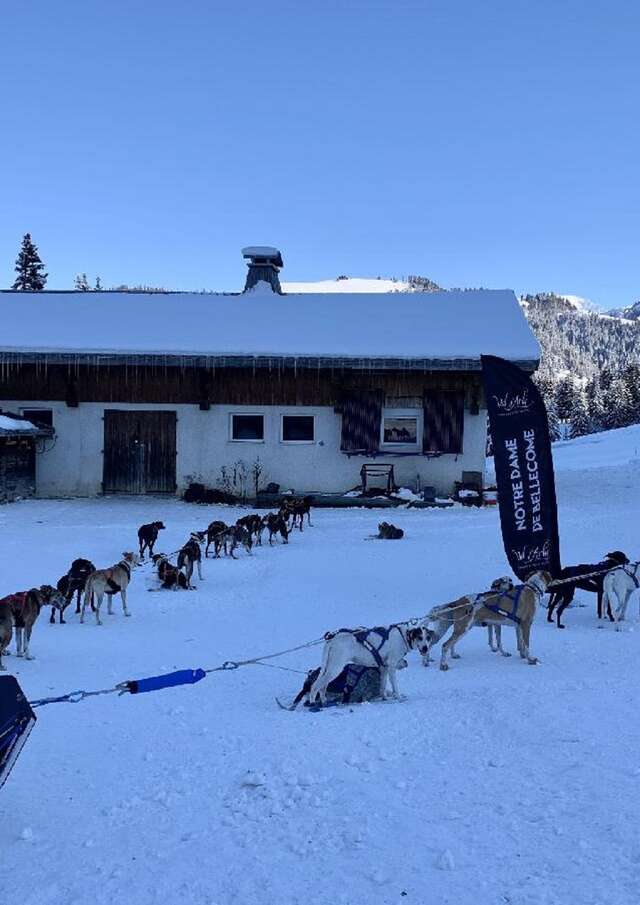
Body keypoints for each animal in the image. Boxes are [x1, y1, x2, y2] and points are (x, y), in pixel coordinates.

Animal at [422, 568, 552, 668]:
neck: (533, 588)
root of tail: (458, 602)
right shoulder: (526, 625)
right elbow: (527, 645)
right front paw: (530, 660)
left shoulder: (518, 626)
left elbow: (520, 644)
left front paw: (523, 656)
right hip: (462, 629)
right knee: (445, 645)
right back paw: (443, 665)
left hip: (451, 629)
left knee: (433, 643)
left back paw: (427, 661)